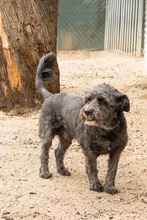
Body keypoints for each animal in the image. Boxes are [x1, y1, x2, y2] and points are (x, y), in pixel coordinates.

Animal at [35, 52, 130, 195]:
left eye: (102, 101)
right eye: (87, 100)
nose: (86, 111)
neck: (105, 129)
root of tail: (50, 96)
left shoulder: (116, 151)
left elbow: (112, 171)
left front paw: (109, 187)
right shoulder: (89, 151)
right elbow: (92, 168)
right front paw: (95, 185)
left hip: (66, 137)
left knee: (58, 151)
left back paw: (62, 170)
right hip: (46, 134)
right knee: (43, 153)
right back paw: (44, 172)